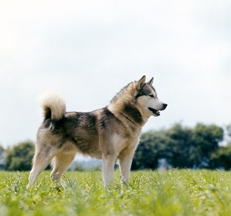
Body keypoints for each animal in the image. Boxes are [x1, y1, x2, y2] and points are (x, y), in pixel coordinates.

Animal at [27, 76, 167, 187]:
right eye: (151, 96)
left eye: (157, 95)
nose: (165, 104)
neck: (123, 117)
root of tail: (49, 116)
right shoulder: (109, 155)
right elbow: (109, 179)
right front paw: (111, 193)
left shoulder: (127, 156)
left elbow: (125, 179)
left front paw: (126, 192)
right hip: (46, 155)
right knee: (32, 175)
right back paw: (31, 191)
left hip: (67, 157)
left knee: (54, 176)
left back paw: (63, 191)